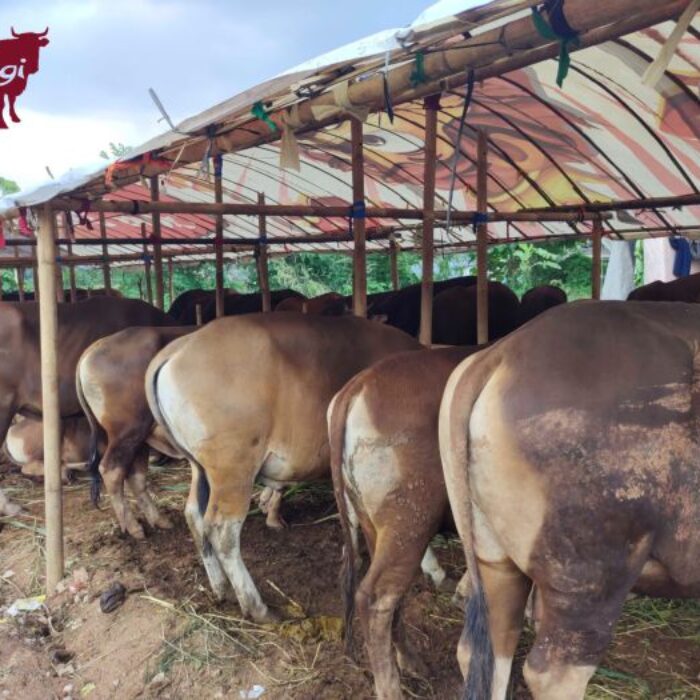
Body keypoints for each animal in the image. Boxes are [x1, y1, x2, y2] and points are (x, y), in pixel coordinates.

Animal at [77, 326, 193, 538]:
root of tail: (95, 347)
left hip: (139, 439)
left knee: (135, 477)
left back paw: (159, 520)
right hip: (128, 432)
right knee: (111, 470)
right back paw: (133, 527)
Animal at [145, 313, 422, 622]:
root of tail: (179, 348)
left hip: (200, 468)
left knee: (194, 515)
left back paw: (220, 589)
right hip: (233, 470)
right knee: (221, 530)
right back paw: (257, 607)